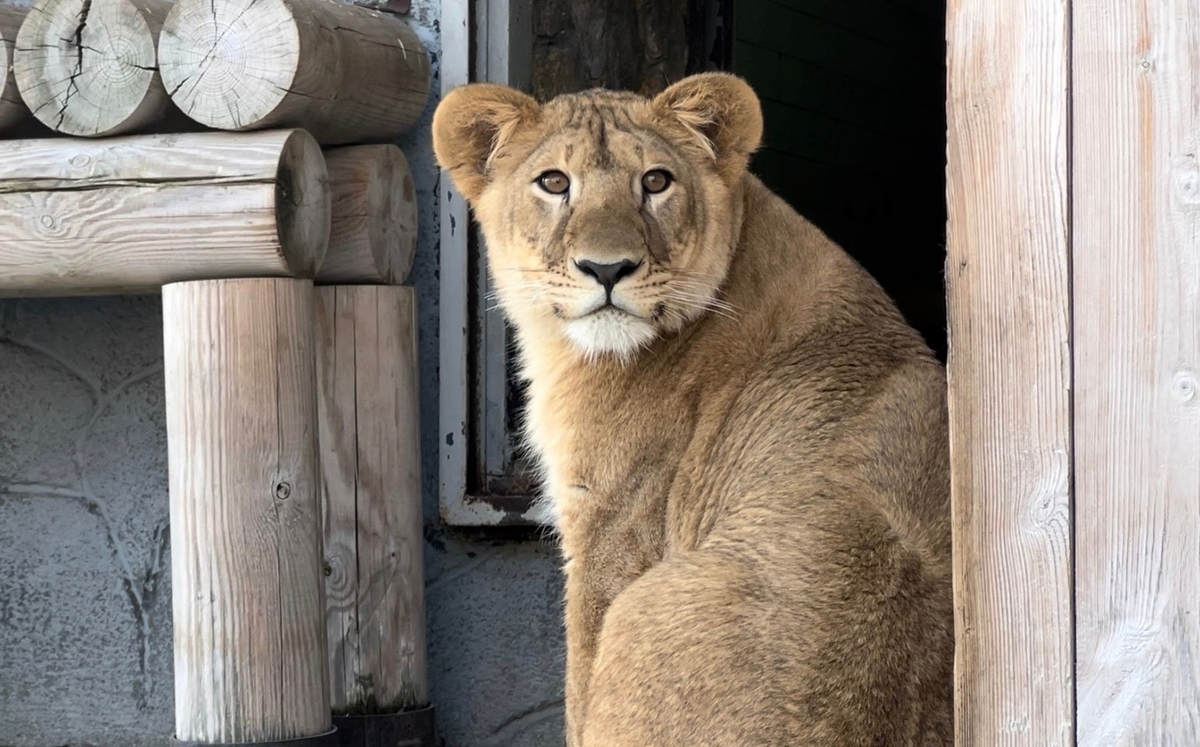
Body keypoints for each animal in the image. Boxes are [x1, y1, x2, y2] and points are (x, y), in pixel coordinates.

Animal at [432, 71, 945, 747]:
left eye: (655, 181)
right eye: (554, 183)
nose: (606, 269)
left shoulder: (614, 530)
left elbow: (580, 687)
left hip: (643, 608)